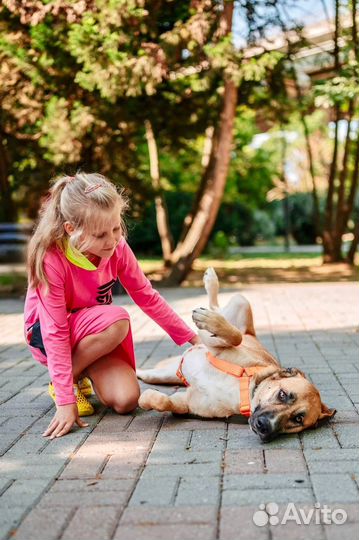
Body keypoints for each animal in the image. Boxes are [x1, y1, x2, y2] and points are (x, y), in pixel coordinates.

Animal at [136, 268, 336, 440]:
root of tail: (253, 334)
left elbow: (162, 401)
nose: (265, 426)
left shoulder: (187, 401)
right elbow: (234, 337)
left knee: (149, 375)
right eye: (282, 395)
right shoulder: (216, 347)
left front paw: (147, 398)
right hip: (242, 301)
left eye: (298, 419)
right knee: (219, 310)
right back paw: (211, 289)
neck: (244, 392)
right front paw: (210, 325)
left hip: (164, 375)